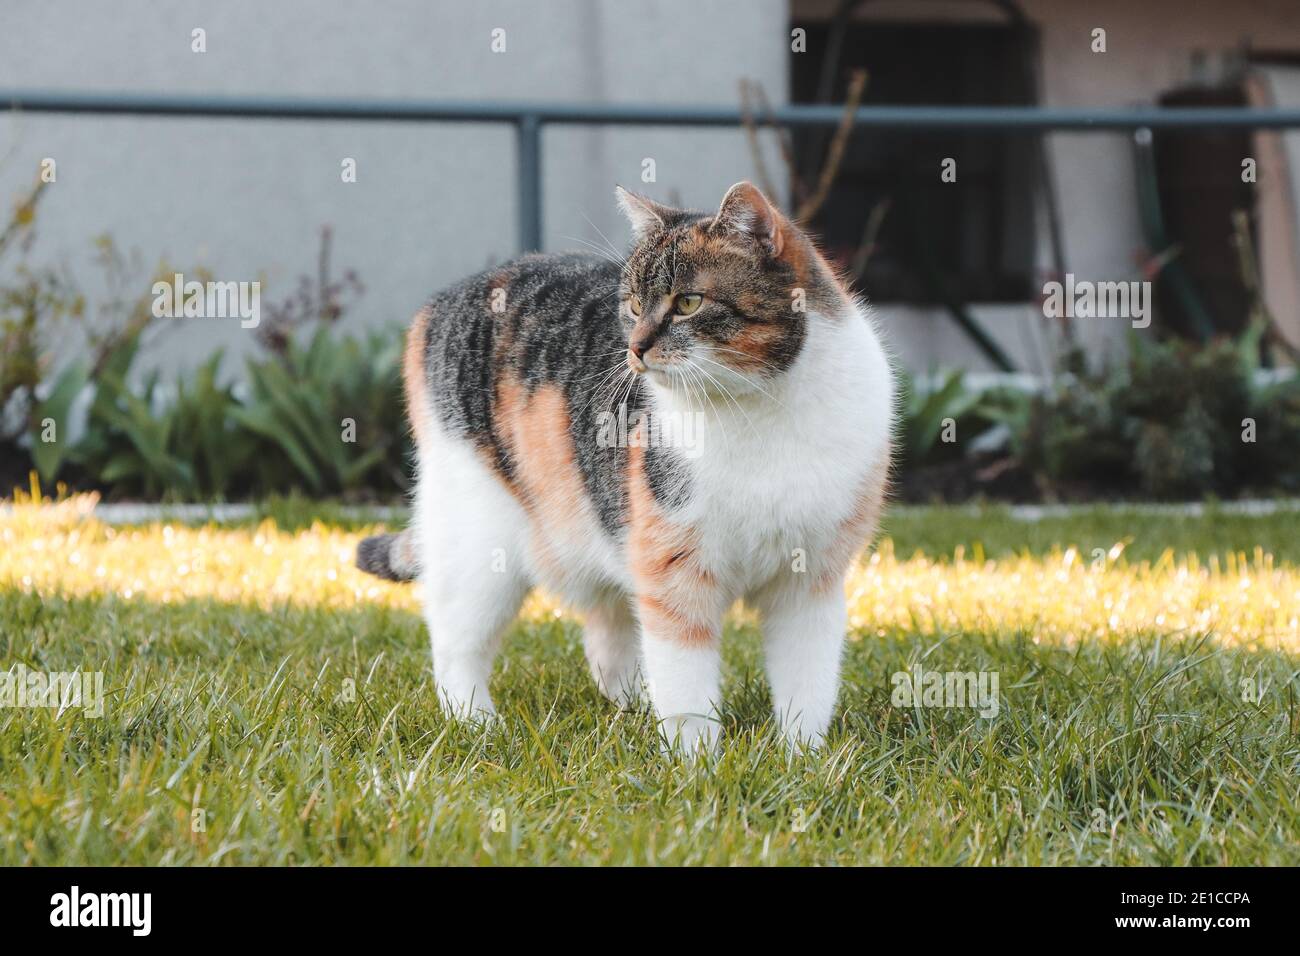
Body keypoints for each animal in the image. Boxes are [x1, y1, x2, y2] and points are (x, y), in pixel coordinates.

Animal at [356, 183, 894, 749]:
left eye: (688, 302)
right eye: (634, 305)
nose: (635, 348)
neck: (758, 414)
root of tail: (442, 300)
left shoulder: (810, 581)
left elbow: (807, 682)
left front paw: (802, 756)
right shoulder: (673, 570)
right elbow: (685, 683)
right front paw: (696, 761)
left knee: (606, 636)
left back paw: (632, 710)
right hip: (478, 538)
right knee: (456, 641)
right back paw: (476, 724)